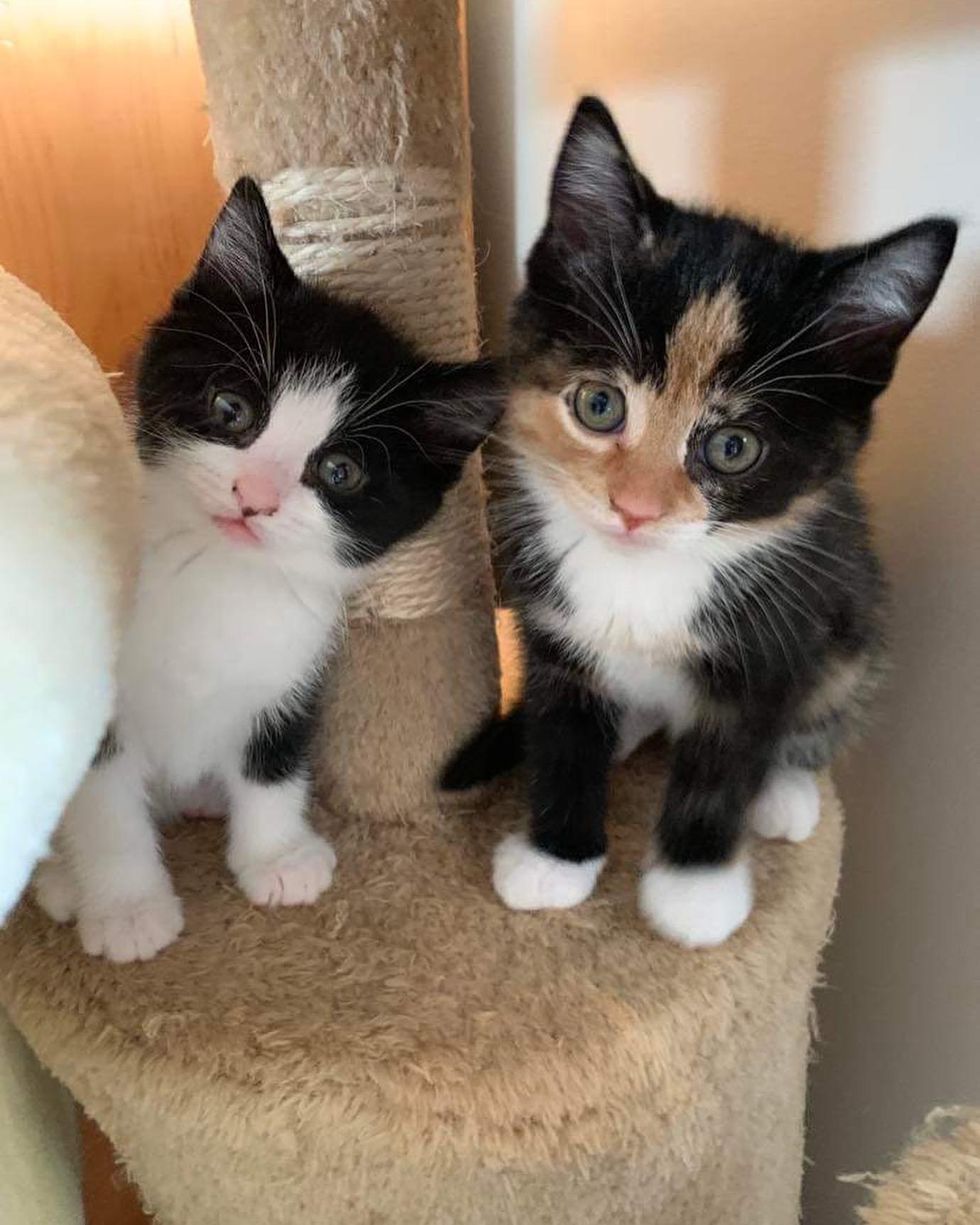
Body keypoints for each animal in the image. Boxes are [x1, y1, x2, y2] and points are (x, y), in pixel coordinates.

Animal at [35, 177, 502, 960]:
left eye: (340, 471)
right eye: (231, 408)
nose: (253, 498)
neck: (219, 578)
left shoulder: (296, 664)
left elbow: (274, 758)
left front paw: (277, 858)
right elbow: (105, 802)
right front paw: (128, 908)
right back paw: (63, 882)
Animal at [443, 100, 955, 950]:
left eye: (733, 447)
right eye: (598, 404)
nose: (636, 508)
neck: (642, 576)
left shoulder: (781, 634)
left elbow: (726, 763)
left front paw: (695, 889)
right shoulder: (550, 625)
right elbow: (562, 732)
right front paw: (557, 854)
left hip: (856, 610)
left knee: (829, 700)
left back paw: (785, 793)